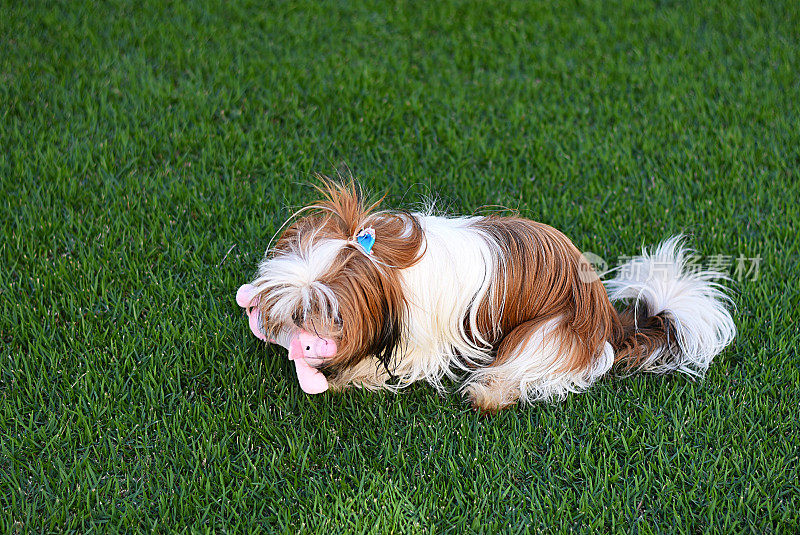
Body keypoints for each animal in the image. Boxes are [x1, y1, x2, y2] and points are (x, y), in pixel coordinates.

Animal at [239, 182, 736, 412]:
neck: (388, 270)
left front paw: (349, 375)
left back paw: (488, 393)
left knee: (527, 364)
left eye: (324, 311)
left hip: (551, 331)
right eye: (290, 301)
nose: (295, 332)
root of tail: (608, 321)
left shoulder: (421, 340)